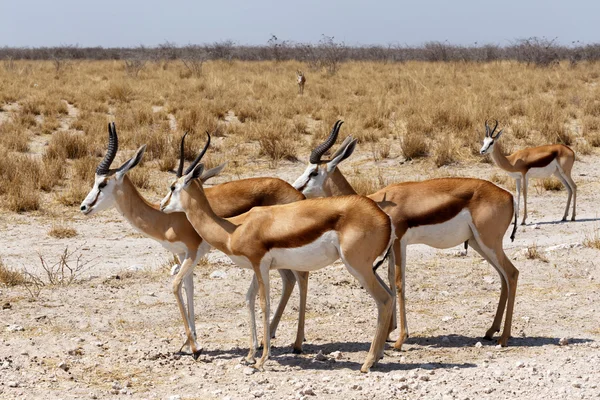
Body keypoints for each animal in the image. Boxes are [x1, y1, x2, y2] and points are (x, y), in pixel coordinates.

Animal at [79, 123, 310, 358]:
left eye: (103, 183)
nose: (84, 207)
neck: (165, 218)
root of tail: (298, 194)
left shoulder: (193, 252)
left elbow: (176, 285)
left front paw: (195, 347)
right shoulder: (183, 254)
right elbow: (188, 288)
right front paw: (192, 341)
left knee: (301, 277)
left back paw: (296, 343)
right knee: (289, 280)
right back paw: (269, 337)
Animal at [159, 132, 396, 372]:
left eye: (173, 187)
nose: (162, 206)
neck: (233, 229)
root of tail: (384, 216)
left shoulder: (259, 264)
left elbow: (264, 303)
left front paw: (262, 358)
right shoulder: (257, 267)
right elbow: (249, 298)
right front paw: (250, 355)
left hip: (357, 266)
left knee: (384, 299)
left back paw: (367, 362)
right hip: (365, 268)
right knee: (390, 295)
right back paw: (377, 355)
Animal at [292, 120, 520, 348]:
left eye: (313, 172)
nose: (295, 188)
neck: (377, 204)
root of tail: (508, 196)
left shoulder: (399, 242)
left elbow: (399, 282)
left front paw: (400, 339)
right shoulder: (391, 248)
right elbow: (391, 280)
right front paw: (389, 332)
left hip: (488, 242)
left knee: (512, 273)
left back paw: (504, 337)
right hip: (477, 243)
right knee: (503, 277)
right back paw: (490, 331)